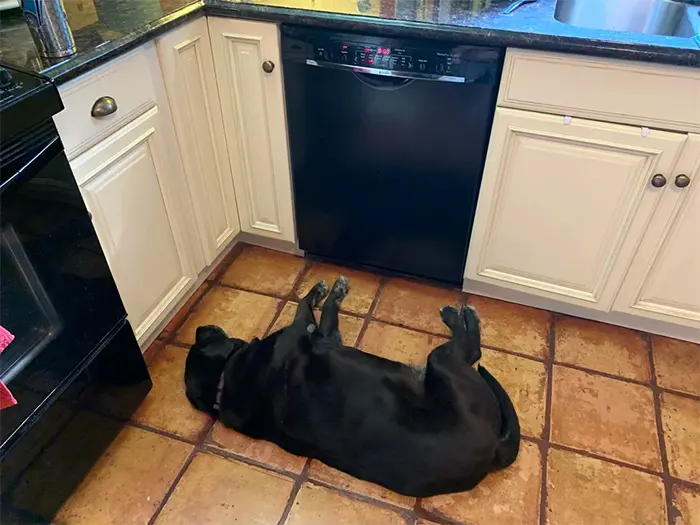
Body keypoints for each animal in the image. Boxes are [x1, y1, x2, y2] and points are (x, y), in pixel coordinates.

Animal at [183, 274, 516, 496]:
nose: (202, 328)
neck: (226, 379)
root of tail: (492, 452)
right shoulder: (310, 331)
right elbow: (307, 305)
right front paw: (326, 290)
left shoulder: (325, 336)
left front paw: (324, 291)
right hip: (442, 361)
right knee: (473, 352)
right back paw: (458, 315)